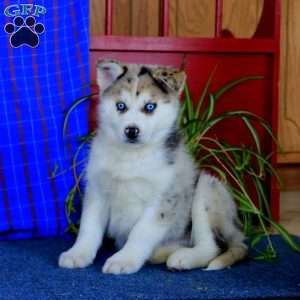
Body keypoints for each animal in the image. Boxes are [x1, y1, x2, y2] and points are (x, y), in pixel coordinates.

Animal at [58, 58, 246, 274]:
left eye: (149, 107)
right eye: (120, 106)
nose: (131, 131)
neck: (132, 156)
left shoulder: (163, 199)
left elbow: (140, 232)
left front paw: (124, 259)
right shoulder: (98, 190)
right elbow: (89, 227)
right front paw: (77, 253)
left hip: (206, 189)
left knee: (211, 246)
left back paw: (183, 258)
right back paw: (162, 253)